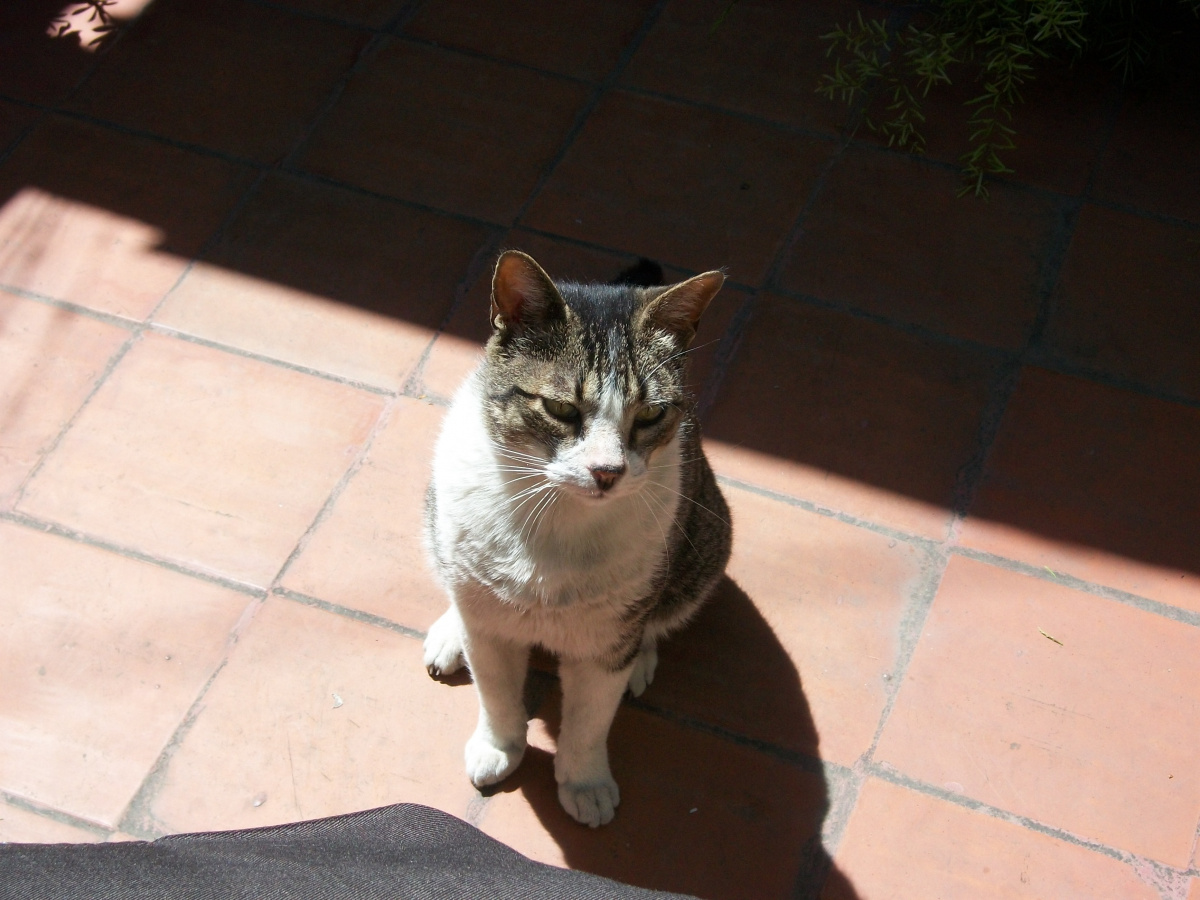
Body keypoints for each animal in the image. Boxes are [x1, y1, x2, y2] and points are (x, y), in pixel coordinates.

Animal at [422, 250, 732, 827]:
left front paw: (584, 783)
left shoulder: (606, 640)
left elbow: (590, 720)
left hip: (705, 546)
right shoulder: (491, 630)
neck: (557, 519)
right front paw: (498, 747)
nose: (607, 472)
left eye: (650, 413)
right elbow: (496, 692)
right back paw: (451, 630)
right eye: (561, 409)